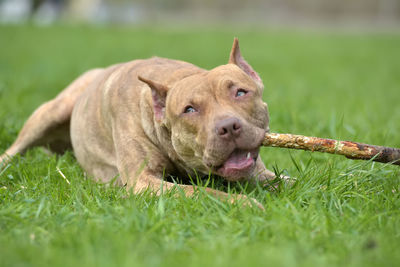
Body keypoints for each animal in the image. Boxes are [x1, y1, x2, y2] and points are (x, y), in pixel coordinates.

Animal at [0, 38, 282, 207]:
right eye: (189, 109)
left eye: (240, 92)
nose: (228, 127)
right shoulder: (143, 182)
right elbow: (198, 192)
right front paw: (244, 203)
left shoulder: (258, 173)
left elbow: (282, 181)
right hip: (52, 110)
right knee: (14, 149)